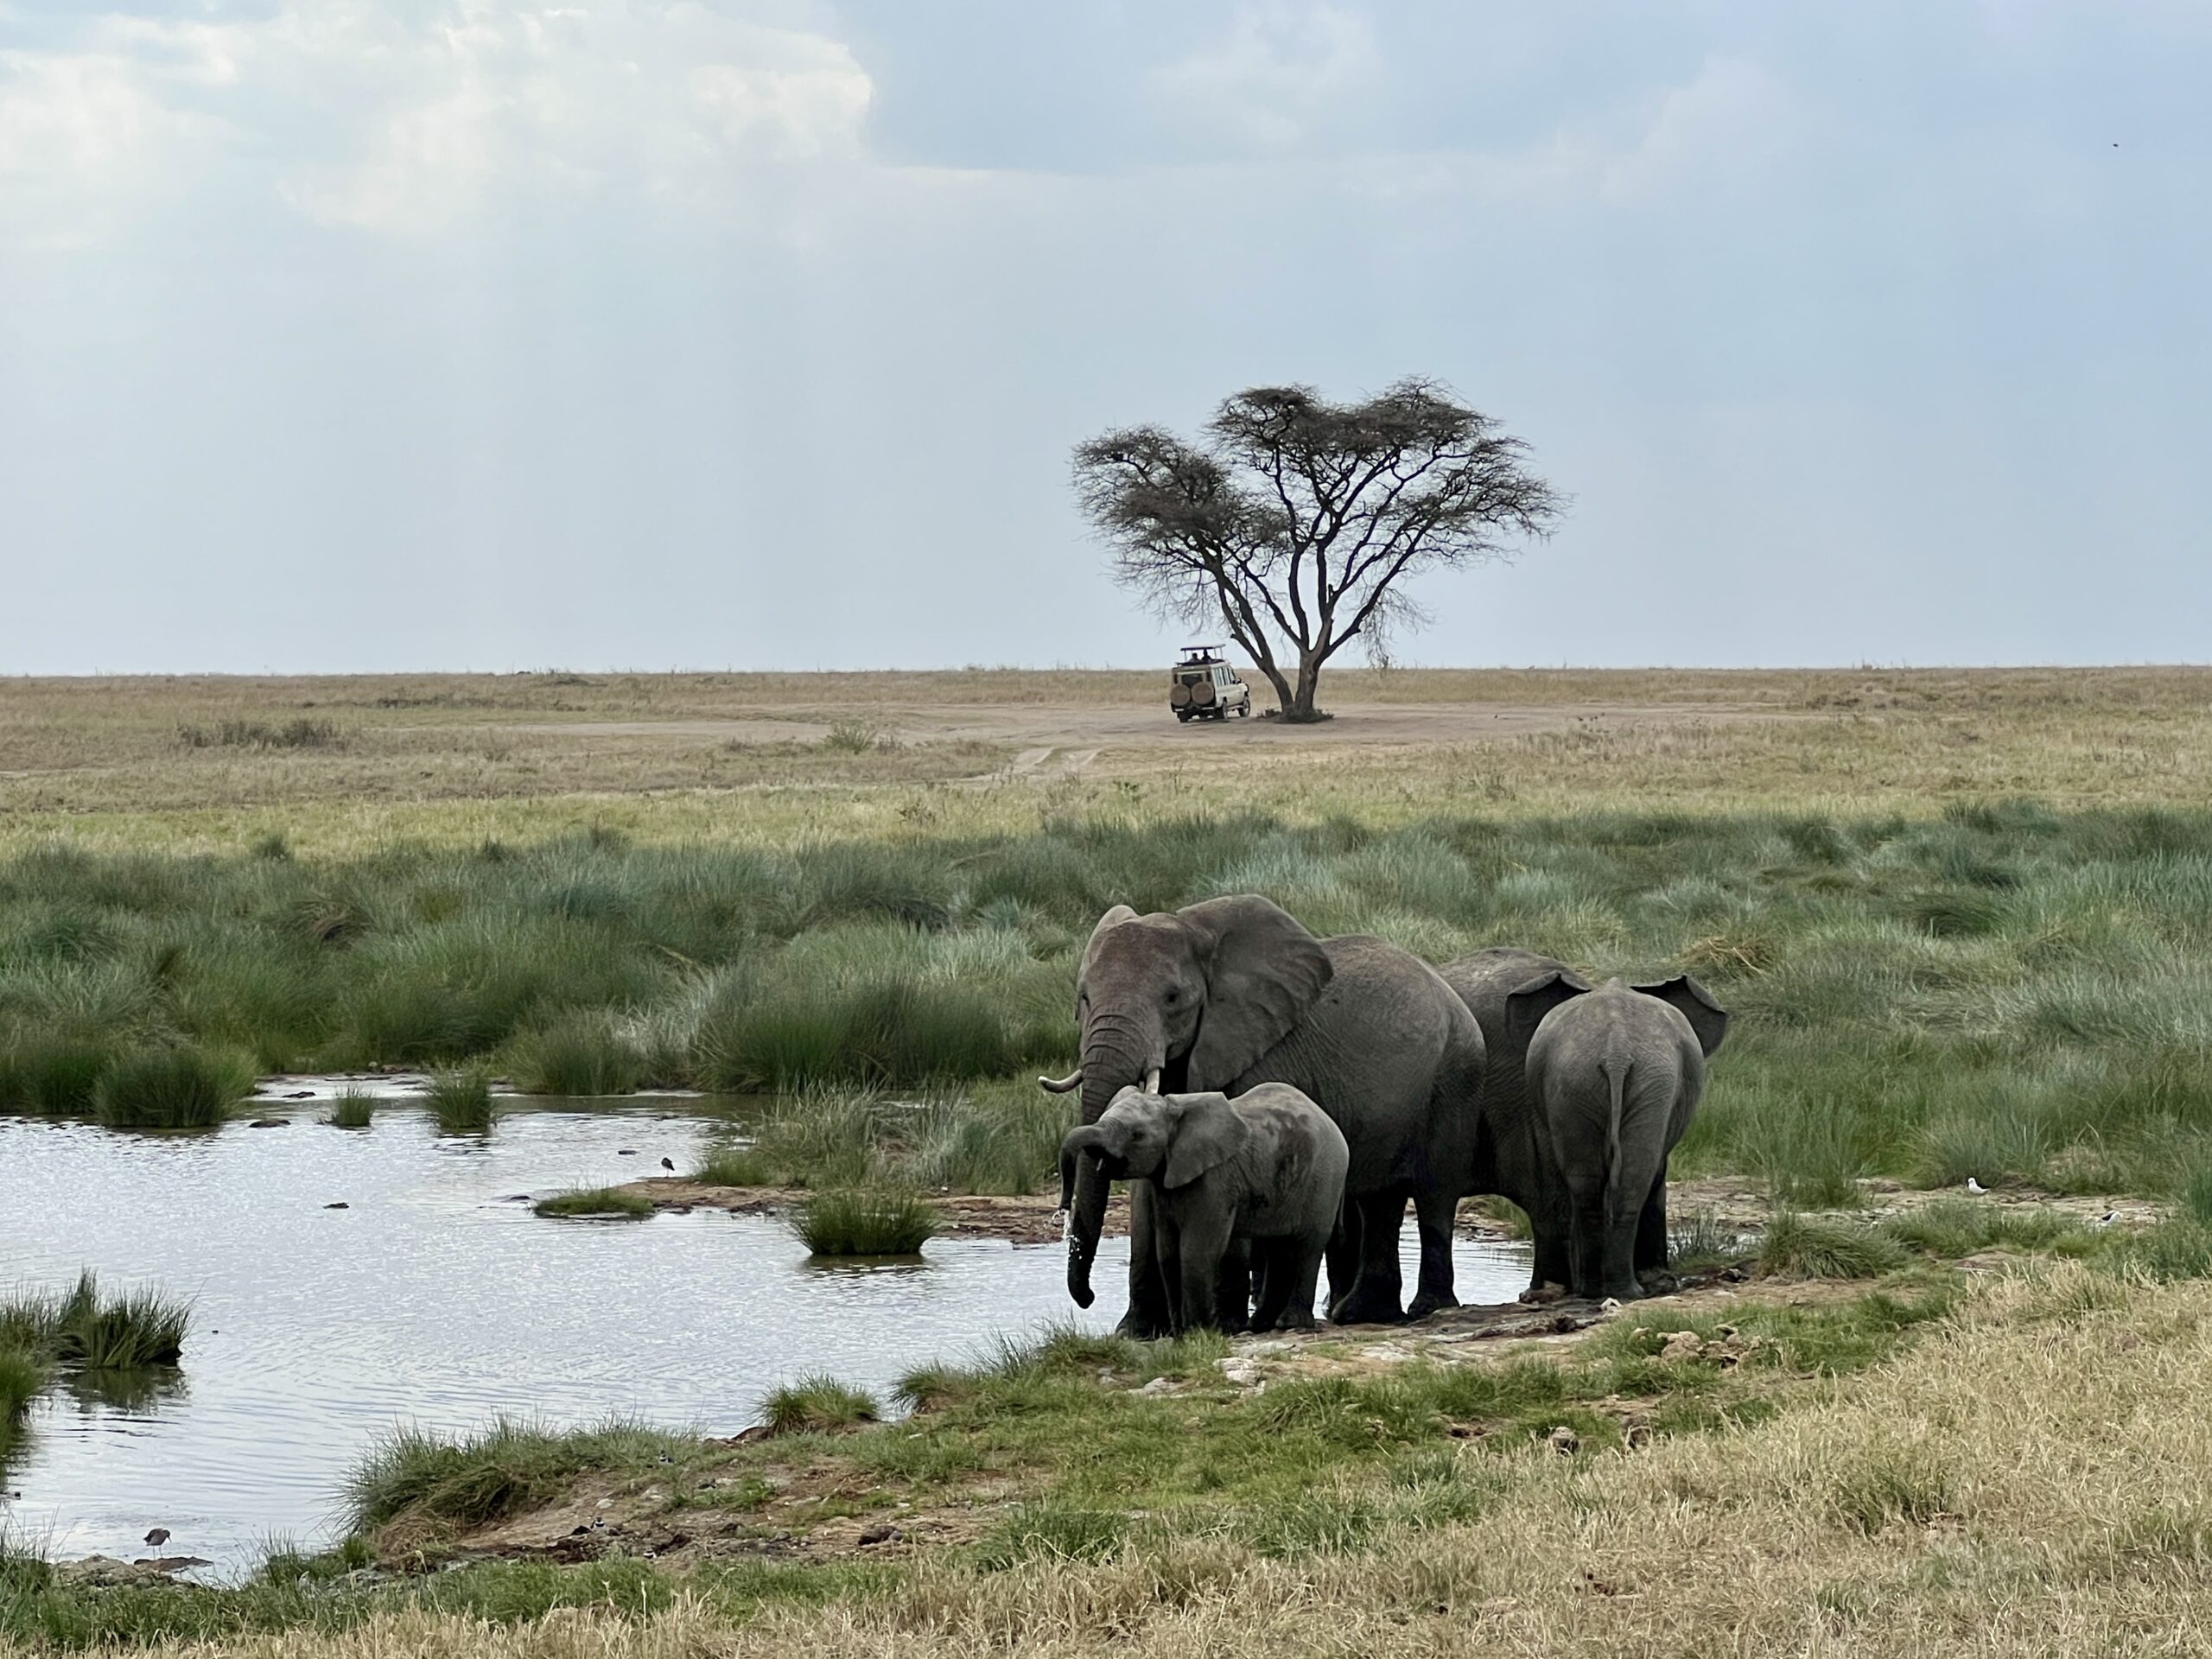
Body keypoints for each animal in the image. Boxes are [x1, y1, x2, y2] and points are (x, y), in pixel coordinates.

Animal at [1057, 1083, 1348, 1333]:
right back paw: (1261, 1325)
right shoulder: (1165, 1181)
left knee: (1308, 1244)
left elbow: (1195, 1251)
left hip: (1325, 1177)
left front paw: (1199, 1332)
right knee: (1278, 1248)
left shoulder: (1214, 1180)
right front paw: (1179, 1333)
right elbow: (1168, 1252)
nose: (1063, 1208)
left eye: (1137, 1136)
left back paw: (1290, 1324)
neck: (1173, 1109)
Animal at [1507, 972, 1730, 1303]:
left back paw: (1597, 1290)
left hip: (1580, 1082)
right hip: (1640, 1081)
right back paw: (1628, 1290)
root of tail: (1616, 1049)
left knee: (1591, 1184)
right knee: (1634, 1179)